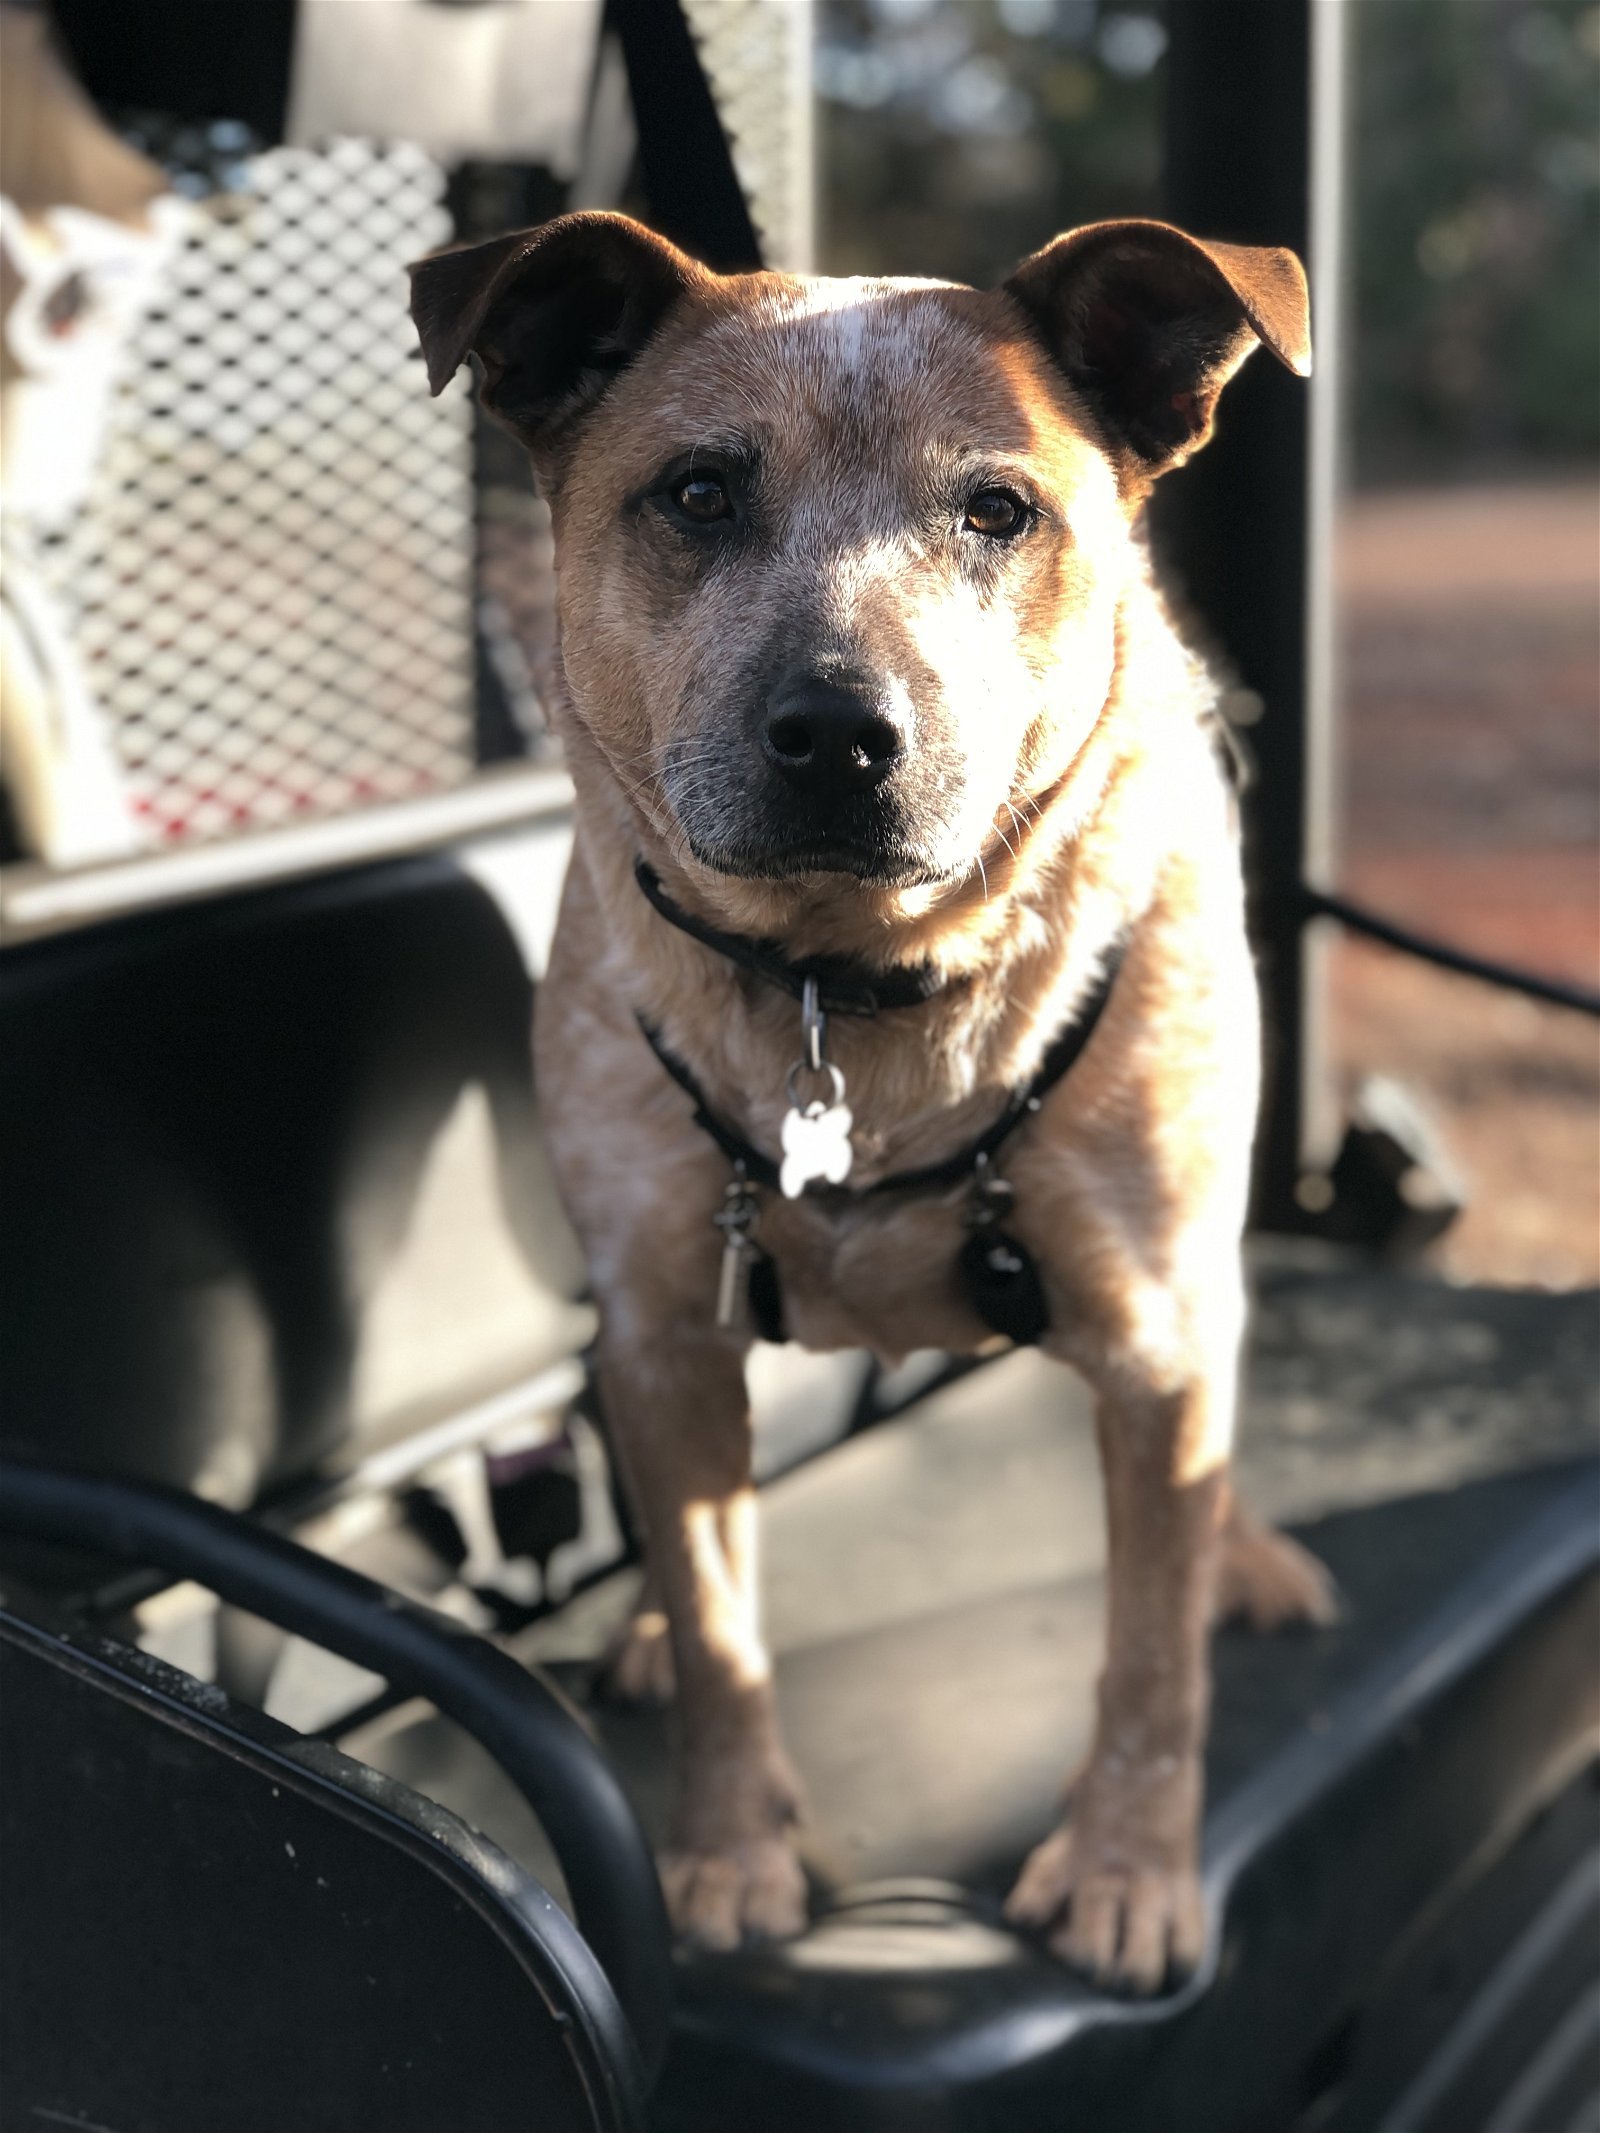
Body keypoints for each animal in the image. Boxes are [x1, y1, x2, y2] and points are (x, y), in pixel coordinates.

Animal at [413, 207, 1339, 1987]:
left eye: (999, 509)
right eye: (700, 491)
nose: (841, 734)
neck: (850, 989)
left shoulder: (1159, 1332)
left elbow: (1150, 1660)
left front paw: (1127, 1874)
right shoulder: (664, 1329)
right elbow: (723, 1629)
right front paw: (728, 1851)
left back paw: (1245, 1558)